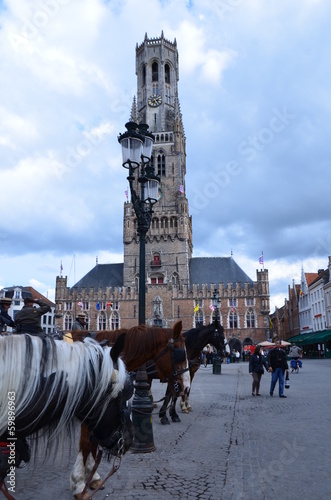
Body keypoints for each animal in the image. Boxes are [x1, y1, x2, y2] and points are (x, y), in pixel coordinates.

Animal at [70, 322, 188, 498]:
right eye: (180, 352)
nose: (184, 387)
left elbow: (91, 443)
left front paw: (92, 476)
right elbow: (86, 443)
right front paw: (79, 484)